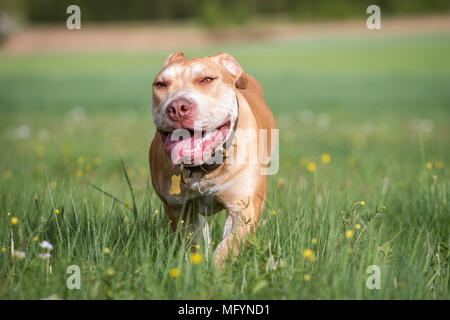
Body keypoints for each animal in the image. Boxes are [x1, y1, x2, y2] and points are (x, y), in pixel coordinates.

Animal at [149, 52, 276, 268]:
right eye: (160, 84)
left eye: (207, 79)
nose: (177, 107)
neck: (203, 168)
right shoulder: (178, 210)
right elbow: (192, 244)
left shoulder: (243, 209)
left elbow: (227, 248)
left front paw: (215, 271)